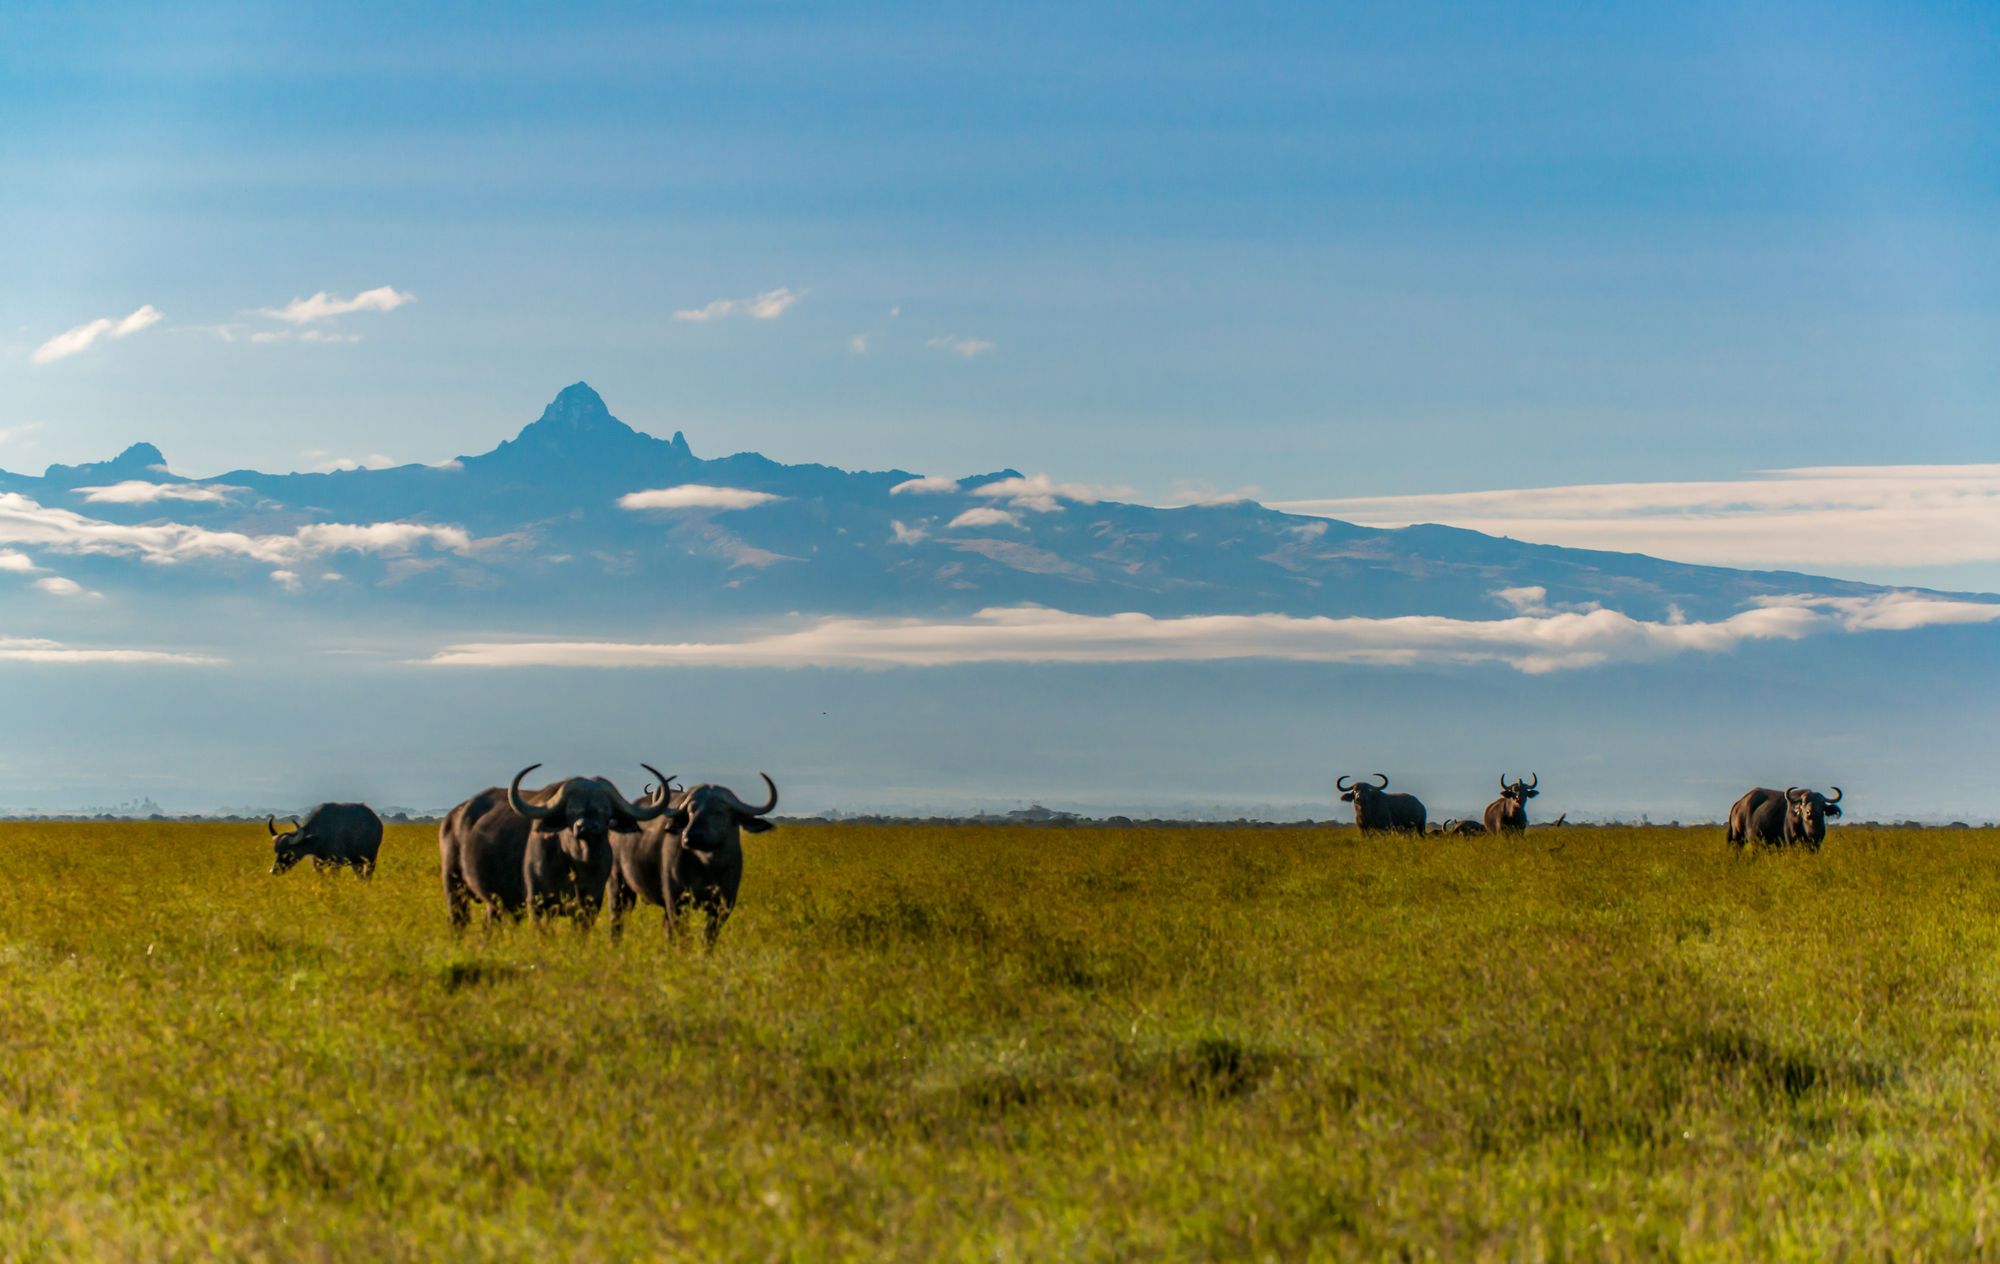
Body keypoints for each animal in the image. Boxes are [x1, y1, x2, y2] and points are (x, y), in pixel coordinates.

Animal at [442, 760, 676, 928]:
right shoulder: (537, 904)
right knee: (458, 921)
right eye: (571, 809)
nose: (586, 827)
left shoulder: (590, 905)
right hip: (454, 887)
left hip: (495, 902)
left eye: (605, 809)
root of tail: (453, 816)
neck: (578, 864)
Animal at [604, 772, 776, 948]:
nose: (690, 837)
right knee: (617, 921)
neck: (708, 867)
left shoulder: (724, 903)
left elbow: (708, 937)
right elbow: (683, 936)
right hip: (618, 885)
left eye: (719, 812)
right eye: (691, 811)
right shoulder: (676, 901)